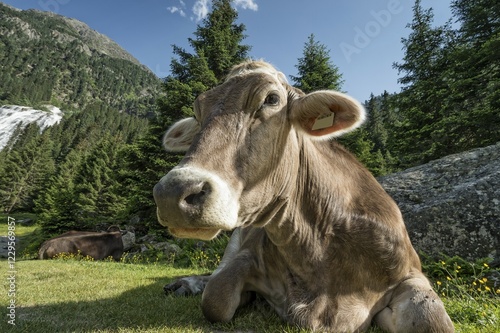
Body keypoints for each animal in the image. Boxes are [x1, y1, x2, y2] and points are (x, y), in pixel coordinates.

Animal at [152, 60, 454, 332]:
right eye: (198, 111)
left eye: (271, 99)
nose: (172, 191)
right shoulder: (246, 255)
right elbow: (215, 298)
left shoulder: (409, 272)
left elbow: (432, 321)